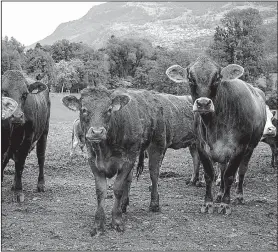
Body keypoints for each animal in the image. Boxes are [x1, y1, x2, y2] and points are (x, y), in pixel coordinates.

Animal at [1, 70, 50, 203]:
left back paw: (41, 184)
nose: (17, 116)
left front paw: (18, 191)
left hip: (44, 132)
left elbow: (20, 165)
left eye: (25, 94)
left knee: (41, 158)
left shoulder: (28, 139)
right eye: (4, 92)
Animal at [62, 85, 199, 235]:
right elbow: (101, 191)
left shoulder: (128, 160)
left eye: (109, 109)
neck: (105, 148)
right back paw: (124, 204)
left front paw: (116, 220)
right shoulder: (93, 161)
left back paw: (154, 203)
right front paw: (98, 224)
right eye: (84, 109)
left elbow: (117, 188)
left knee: (154, 174)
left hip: (157, 146)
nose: (97, 132)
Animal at [166, 56, 266, 214]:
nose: (203, 103)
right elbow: (209, 175)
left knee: (241, 171)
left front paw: (226, 204)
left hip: (250, 148)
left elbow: (230, 175)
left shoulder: (240, 148)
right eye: (190, 78)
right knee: (222, 171)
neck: (214, 126)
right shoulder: (201, 147)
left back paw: (238, 196)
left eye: (217, 78)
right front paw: (208, 203)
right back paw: (218, 195)